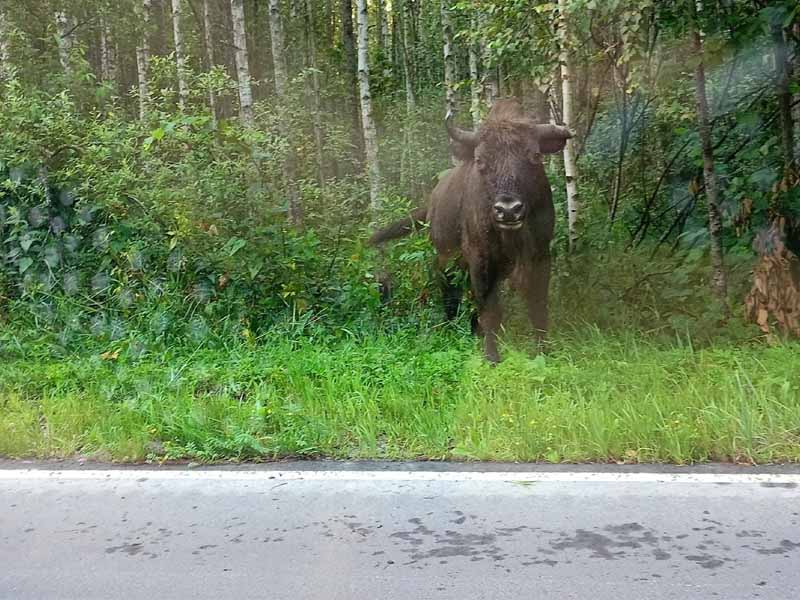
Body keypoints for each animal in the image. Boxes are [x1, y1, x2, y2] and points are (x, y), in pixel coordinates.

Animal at [368, 98, 568, 364]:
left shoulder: (540, 256)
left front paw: (544, 351)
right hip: (446, 257)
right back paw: (452, 328)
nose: (508, 210)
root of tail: (433, 199)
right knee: (450, 290)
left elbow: (538, 306)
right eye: (481, 160)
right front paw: (492, 356)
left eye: (535, 155)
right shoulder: (480, 259)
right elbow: (490, 308)